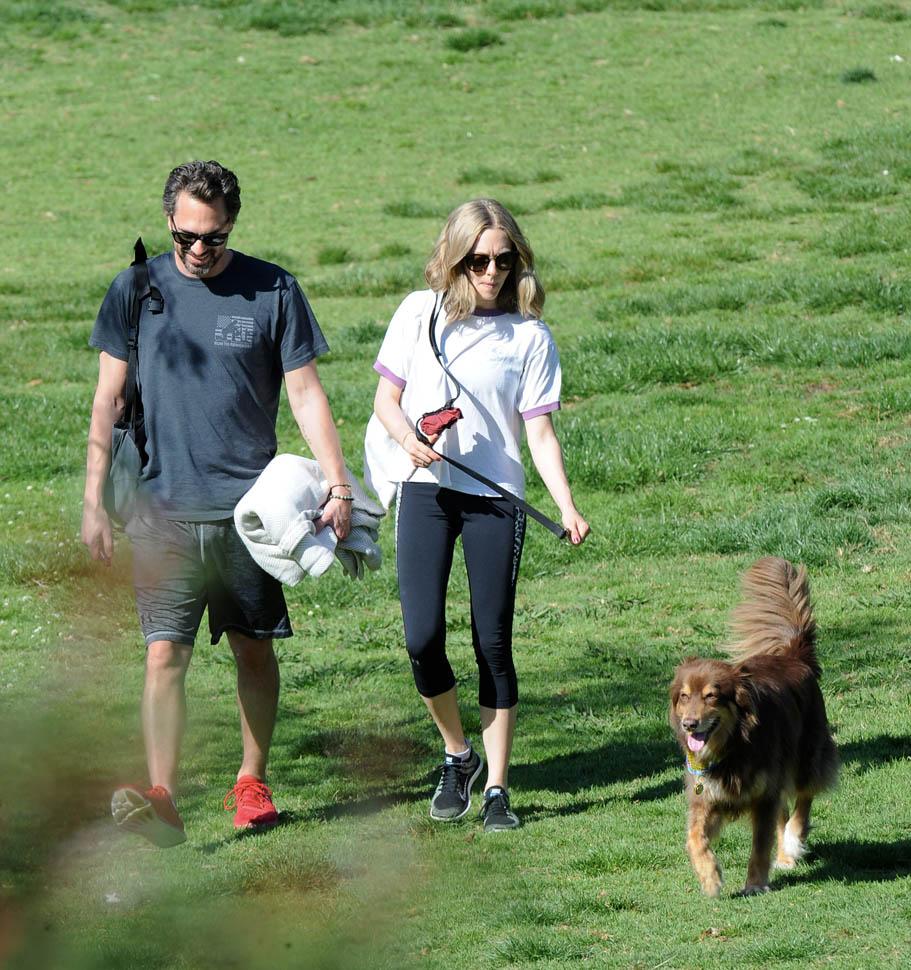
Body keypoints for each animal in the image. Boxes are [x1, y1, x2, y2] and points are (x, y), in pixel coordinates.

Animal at [669, 556, 838, 896]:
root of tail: (793, 655)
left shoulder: (764, 795)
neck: (734, 747)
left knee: (803, 799)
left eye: (711, 696)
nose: (690, 724)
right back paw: (784, 855)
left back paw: (793, 843)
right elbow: (694, 839)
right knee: (784, 813)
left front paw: (755, 884)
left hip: (806, 754)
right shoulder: (707, 797)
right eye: (684, 696)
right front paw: (710, 877)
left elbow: (760, 845)